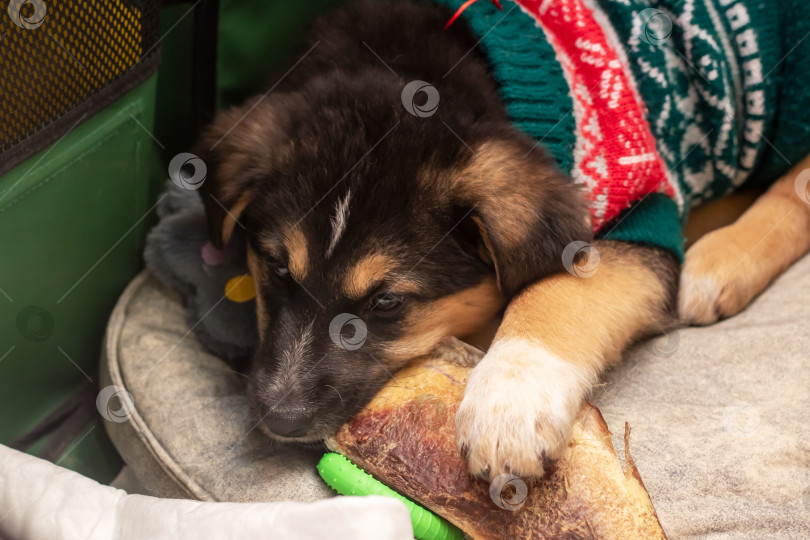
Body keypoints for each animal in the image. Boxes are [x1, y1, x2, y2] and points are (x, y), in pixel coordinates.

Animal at [196, 1, 808, 480]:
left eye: (387, 302)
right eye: (276, 268)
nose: (279, 418)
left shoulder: (641, 214)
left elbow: (557, 294)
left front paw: (507, 404)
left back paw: (719, 263)